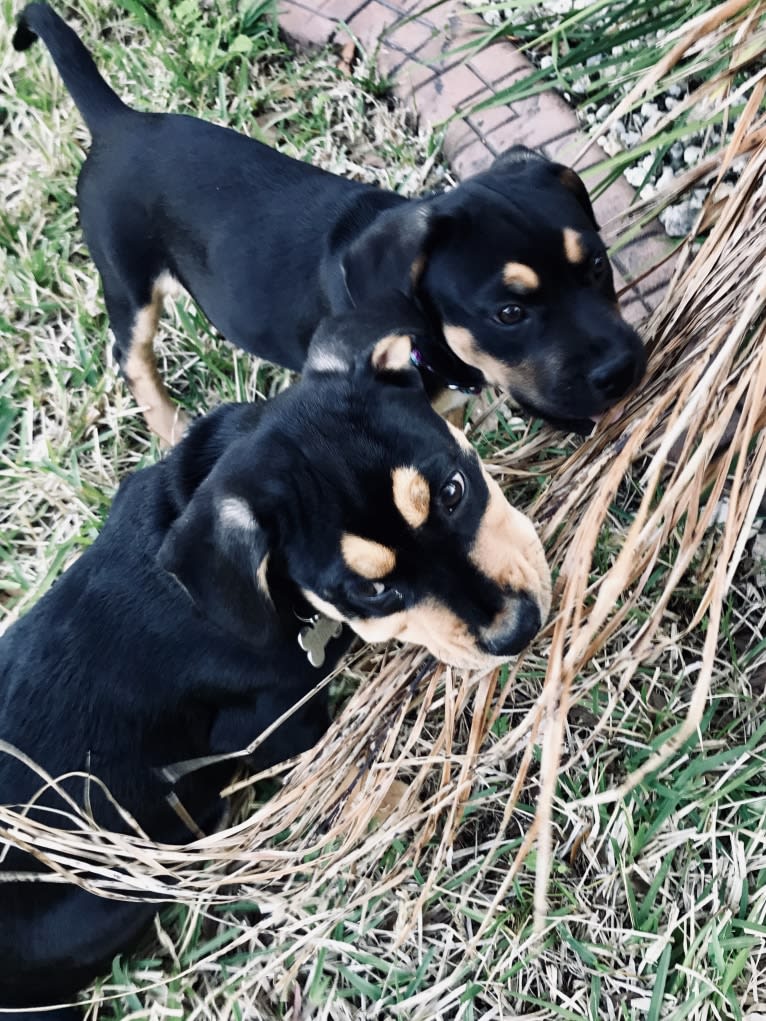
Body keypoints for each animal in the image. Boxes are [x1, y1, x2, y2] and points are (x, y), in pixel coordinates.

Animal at [0, 298, 551, 1016]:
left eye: (454, 491)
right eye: (370, 590)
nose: (519, 630)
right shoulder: (272, 728)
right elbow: (349, 769)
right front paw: (404, 797)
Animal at [13, 3, 649, 443]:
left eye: (598, 265)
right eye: (509, 313)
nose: (622, 370)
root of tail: (117, 122)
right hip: (128, 280)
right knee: (133, 359)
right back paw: (171, 427)